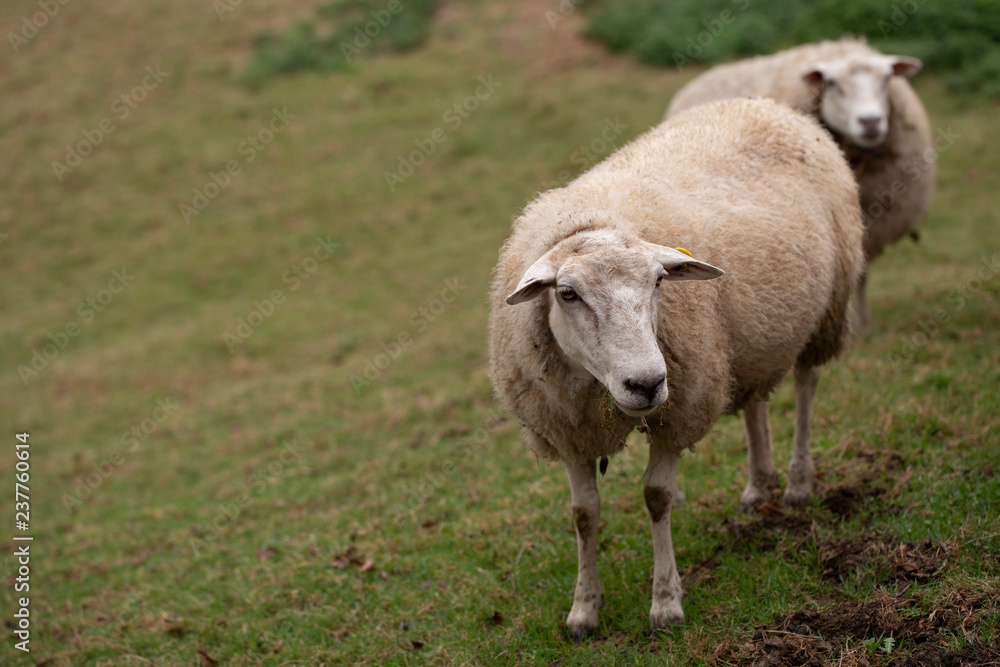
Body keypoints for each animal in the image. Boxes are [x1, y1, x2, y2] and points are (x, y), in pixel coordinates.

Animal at [489, 98, 864, 636]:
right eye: (567, 293)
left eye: (660, 282)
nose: (646, 383)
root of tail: (767, 104)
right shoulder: (566, 429)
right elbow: (583, 514)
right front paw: (583, 610)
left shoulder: (678, 409)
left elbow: (657, 497)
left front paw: (666, 602)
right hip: (746, 338)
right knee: (754, 399)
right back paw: (758, 485)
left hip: (824, 314)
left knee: (806, 387)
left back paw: (796, 482)